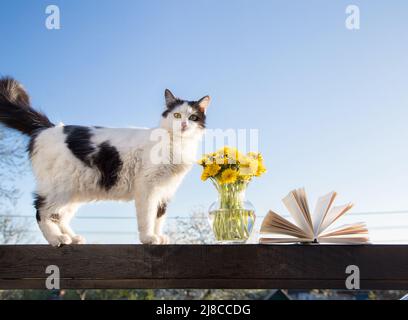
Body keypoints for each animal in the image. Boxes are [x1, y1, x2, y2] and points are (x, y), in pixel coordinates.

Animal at [0, 77, 210, 245]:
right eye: (176, 115)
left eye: (193, 117)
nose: (184, 124)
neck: (177, 144)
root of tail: (48, 127)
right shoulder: (147, 186)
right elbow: (148, 216)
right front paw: (148, 238)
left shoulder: (165, 190)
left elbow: (159, 217)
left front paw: (158, 236)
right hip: (60, 187)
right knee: (41, 210)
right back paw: (56, 239)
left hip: (74, 192)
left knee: (59, 217)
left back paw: (73, 238)